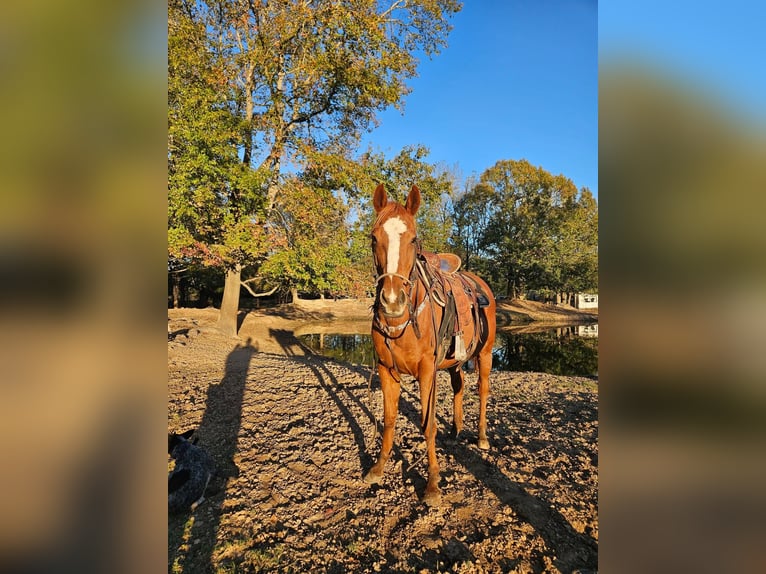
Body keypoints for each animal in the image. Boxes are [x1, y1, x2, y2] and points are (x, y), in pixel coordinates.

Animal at [364, 184, 500, 508]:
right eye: (374, 238)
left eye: (413, 239)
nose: (392, 301)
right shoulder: (386, 369)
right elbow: (389, 420)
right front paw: (378, 467)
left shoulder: (427, 371)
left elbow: (427, 425)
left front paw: (433, 485)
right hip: (453, 362)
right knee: (459, 387)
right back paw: (456, 428)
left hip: (486, 354)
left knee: (483, 390)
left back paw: (481, 436)